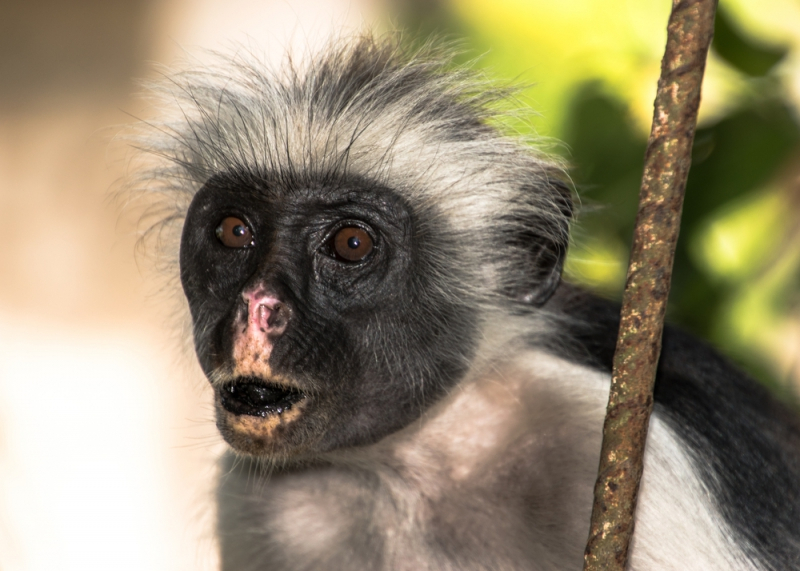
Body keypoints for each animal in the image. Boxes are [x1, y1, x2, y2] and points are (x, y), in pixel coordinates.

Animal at [133, 35, 800, 571]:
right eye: (233, 232)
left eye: (352, 244)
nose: (256, 307)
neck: (413, 463)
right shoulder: (258, 503)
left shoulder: (615, 446)